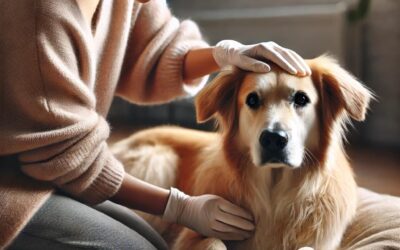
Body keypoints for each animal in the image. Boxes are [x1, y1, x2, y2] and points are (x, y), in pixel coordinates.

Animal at [111, 55, 374, 250]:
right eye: (252, 100)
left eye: (301, 99)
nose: (273, 139)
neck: (273, 196)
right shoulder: (192, 236)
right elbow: (214, 242)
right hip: (159, 161)